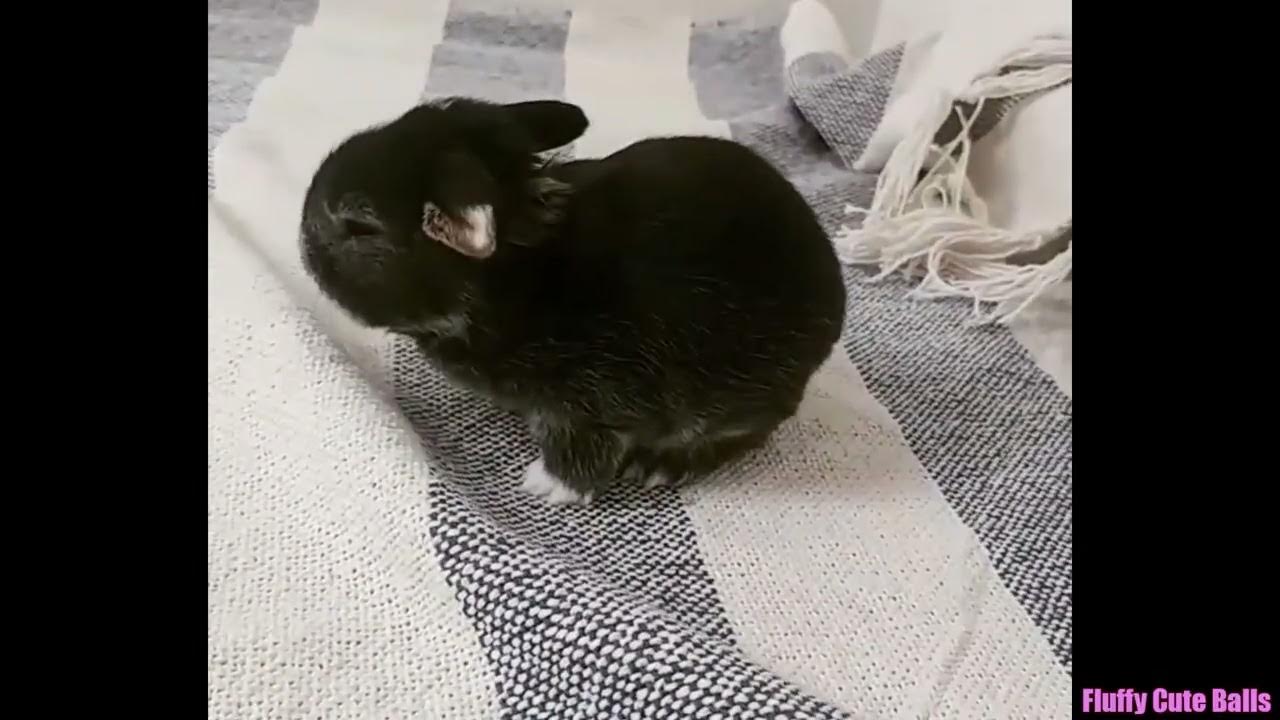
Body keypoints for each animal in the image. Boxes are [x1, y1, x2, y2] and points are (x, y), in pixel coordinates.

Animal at [299, 97, 847, 505]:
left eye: (359, 225)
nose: (303, 240)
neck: (519, 278)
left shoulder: (595, 401)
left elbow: (582, 450)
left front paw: (544, 486)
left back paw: (661, 466)